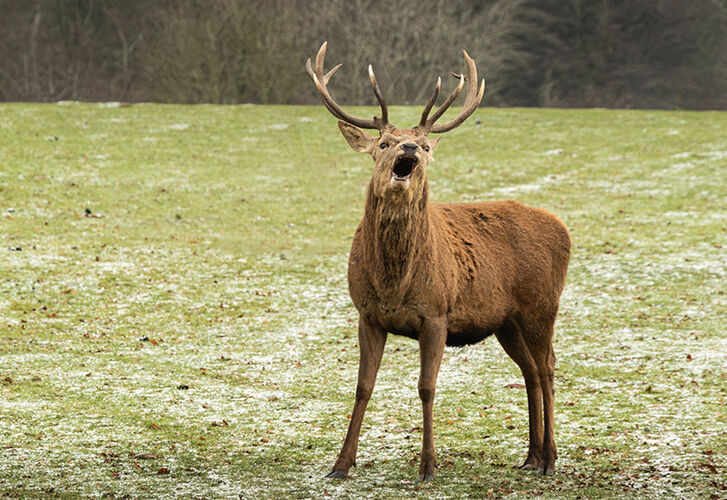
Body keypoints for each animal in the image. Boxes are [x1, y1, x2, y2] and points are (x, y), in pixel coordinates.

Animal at [306, 42, 571, 483]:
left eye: (426, 146)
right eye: (384, 143)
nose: (410, 149)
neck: (394, 284)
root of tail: (563, 228)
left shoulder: (436, 313)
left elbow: (426, 386)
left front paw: (428, 466)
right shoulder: (367, 313)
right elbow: (363, 386)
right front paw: (341, 464)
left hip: (541, 306)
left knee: (548, 368)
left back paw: (550, 457)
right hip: (507, 321)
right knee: (530, 371)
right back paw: (531, 456)